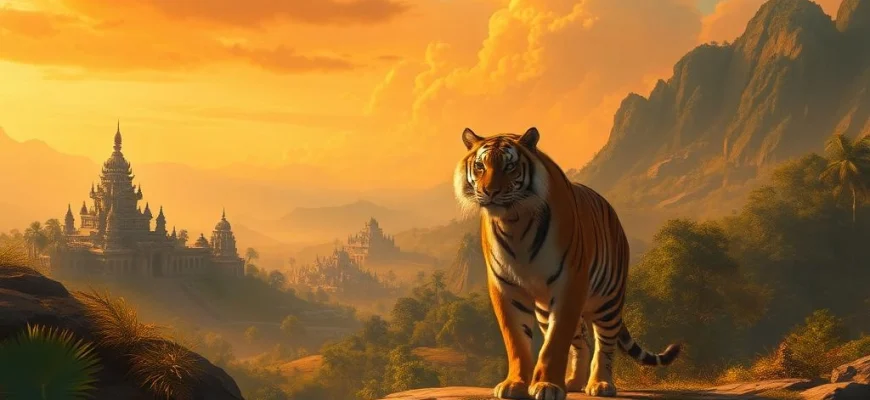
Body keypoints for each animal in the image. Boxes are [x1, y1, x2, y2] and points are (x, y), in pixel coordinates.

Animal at [453, 127, 681, 400]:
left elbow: (555, 343)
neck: (514, 221)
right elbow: (516, 340)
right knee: (581, 343)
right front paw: (515, 384)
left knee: (605, 343)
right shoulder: (506, 287)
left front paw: (547, 386)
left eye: (509, 166)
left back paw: (601, 384)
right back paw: (573, 382)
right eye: (480, 166)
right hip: (545, 309)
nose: (490, 192)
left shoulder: (569, 283)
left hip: (608, 299)